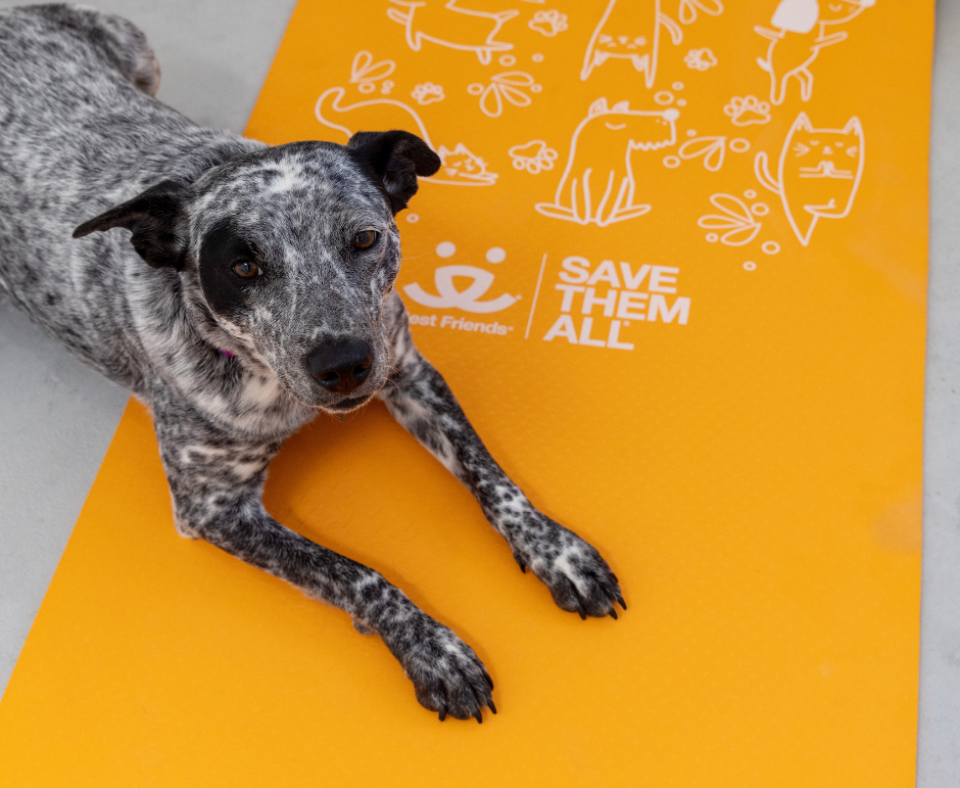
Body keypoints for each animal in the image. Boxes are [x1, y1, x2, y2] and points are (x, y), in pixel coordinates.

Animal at [0, 4, 628, 720]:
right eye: (243, 266)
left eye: (365, 237)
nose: (343, 363)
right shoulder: (215, 506)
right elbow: (354, 574)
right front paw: (432, 648)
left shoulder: (408, 371)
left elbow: (491, 477)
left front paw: (558, 550)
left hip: (136, 46)